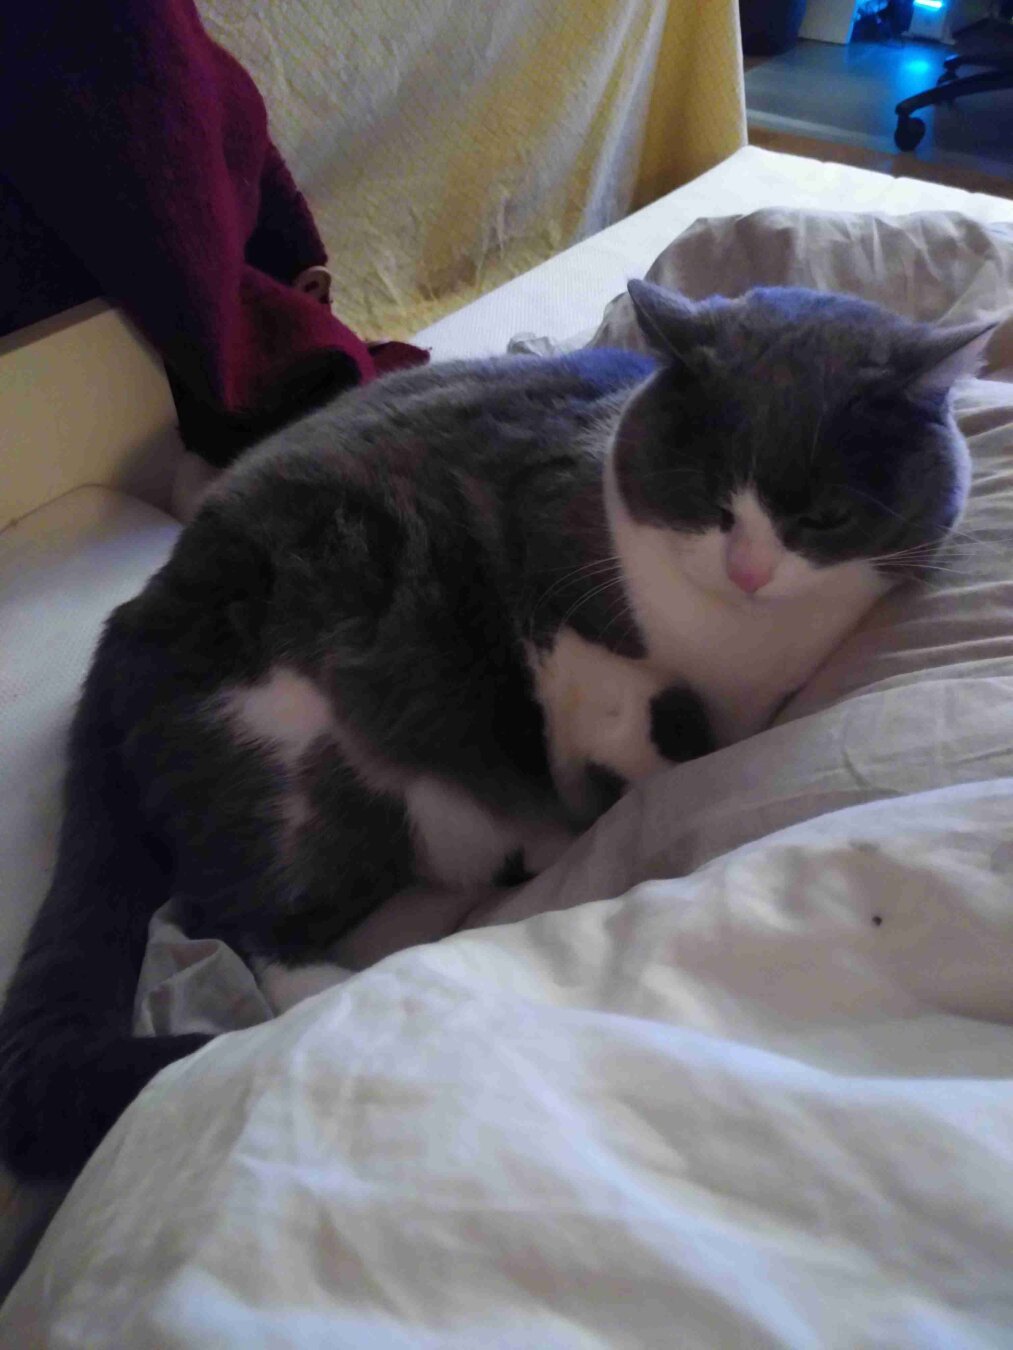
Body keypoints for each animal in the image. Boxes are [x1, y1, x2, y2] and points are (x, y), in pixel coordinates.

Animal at [0, 282, 994, 1182]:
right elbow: (621, 711)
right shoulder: (542, 577)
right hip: (276, 740)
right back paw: (328, 992)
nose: (749, 568)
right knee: (227, 915)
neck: (737, 648)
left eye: (821, 518)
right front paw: (625, 756)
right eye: (709, 500)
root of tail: (121, 629)